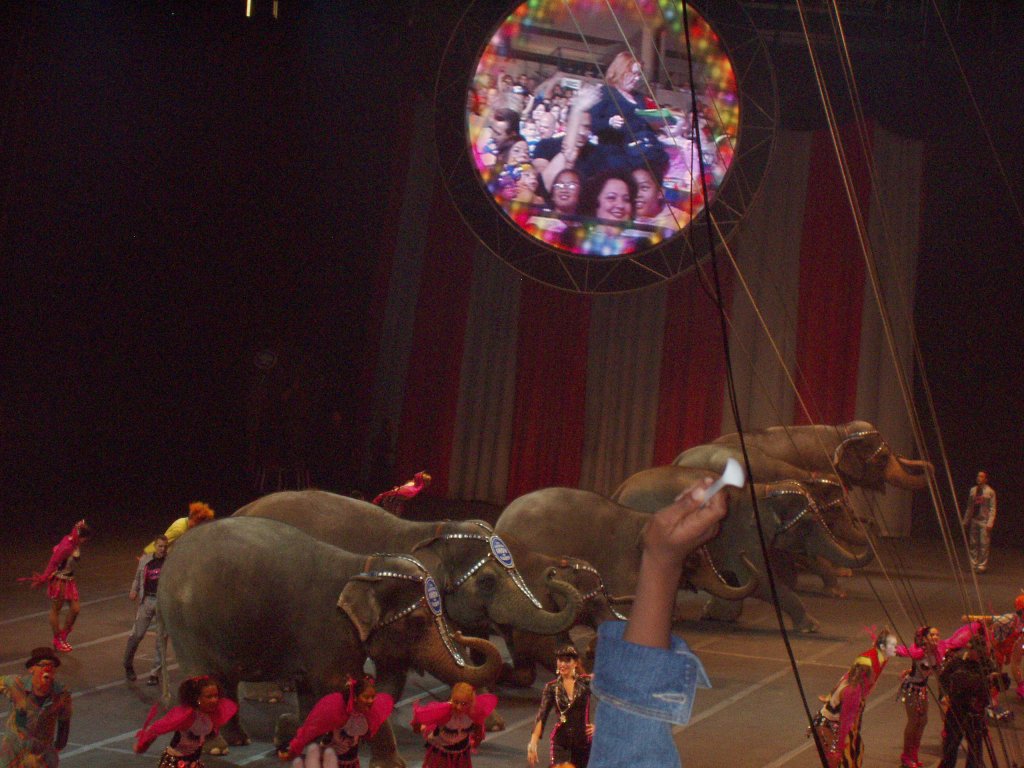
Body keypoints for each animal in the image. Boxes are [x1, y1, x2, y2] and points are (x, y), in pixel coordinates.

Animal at [158, 516, 503, 768]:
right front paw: (393, 765)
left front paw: (293, 736)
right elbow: (341, 687)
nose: (462, 633)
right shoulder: (327, 630)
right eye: (418, 621)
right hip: (186, 626)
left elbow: (312, 693)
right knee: (203, 678)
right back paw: (217, 749)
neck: (363, 567)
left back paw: (238, 740)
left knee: (224, 681)